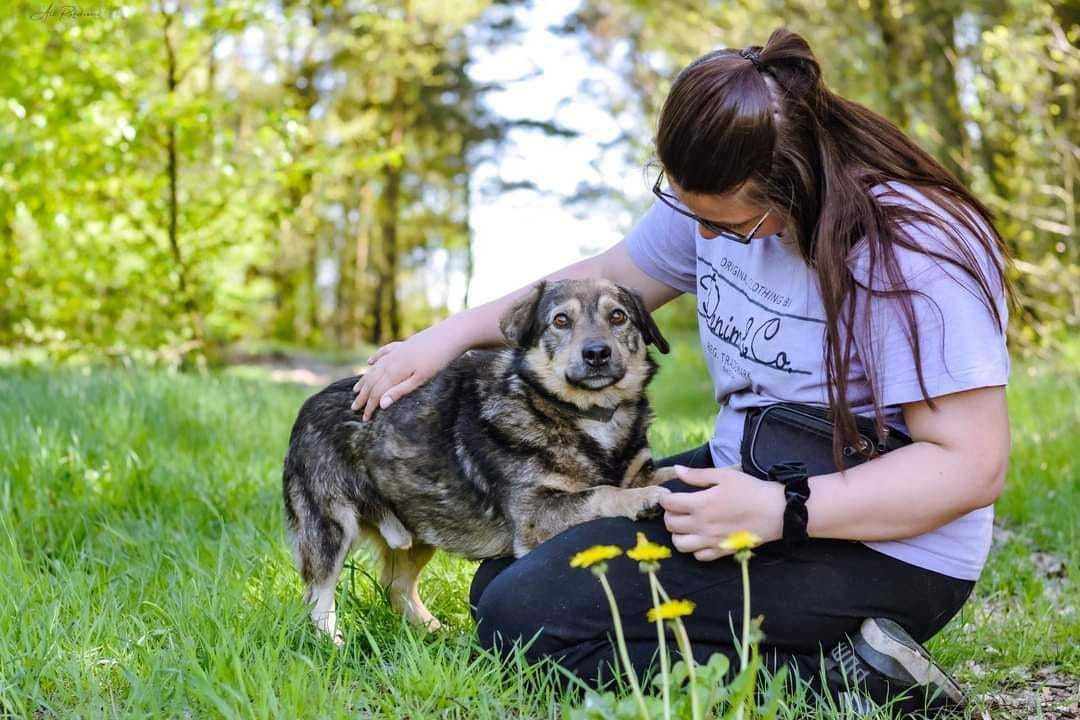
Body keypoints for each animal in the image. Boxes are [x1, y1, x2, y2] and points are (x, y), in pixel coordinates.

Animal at [282, 278, 678, 643]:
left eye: (618, 316)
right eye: (561, 320)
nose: (597, 353)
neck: (590, 417)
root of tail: (308, 406)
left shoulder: (638, 470)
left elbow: (666, 473)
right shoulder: (535, 517)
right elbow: (602, 492)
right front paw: (641, 499)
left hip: (423, 522)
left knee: (395, 585)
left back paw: (436, 632)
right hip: (331, 528)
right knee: (318, 596)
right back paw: (332, 643)